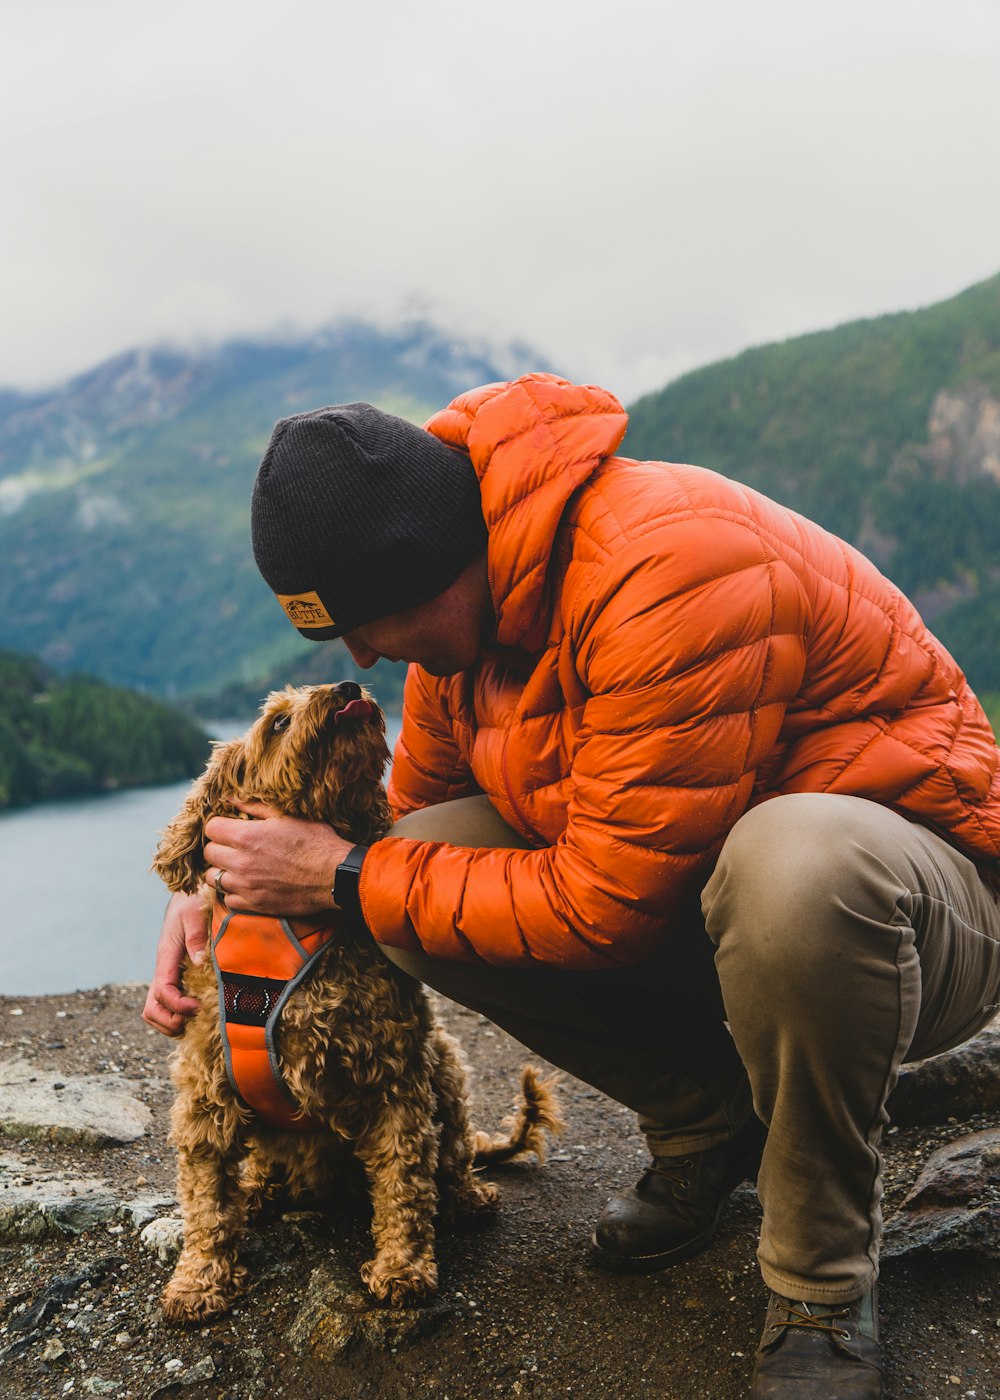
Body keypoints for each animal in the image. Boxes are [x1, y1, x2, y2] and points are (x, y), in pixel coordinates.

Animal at [154, 683, 560, 1327]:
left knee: (453, 1155)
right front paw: (198, 1282)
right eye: (277, 723)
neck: (288, 924)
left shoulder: (397, 1082)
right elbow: (206, 1200)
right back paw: (260, 1191)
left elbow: (405, 1184)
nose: (348, 689)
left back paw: (467, 1199)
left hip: (446, 1066)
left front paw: (402, 1270)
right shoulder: (207, 1094)